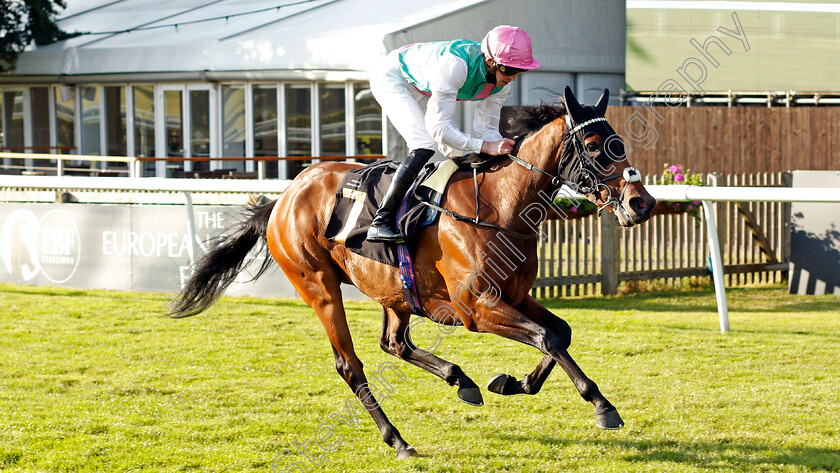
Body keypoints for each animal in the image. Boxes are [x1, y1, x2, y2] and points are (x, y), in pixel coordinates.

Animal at [169, 86, 656, 460]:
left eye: (619, 142)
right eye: (593, 147)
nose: (642, 204)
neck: (501, 206)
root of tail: (283, 198)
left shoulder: (515, 296)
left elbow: (560, 332)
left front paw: (511, 382)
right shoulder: (478, 309)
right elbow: (547, 337)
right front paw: (602, 406)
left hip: (395, 292)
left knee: (395, 343)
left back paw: (461, 380)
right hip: (319, 287)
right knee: (351, 365)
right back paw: (398, 439)